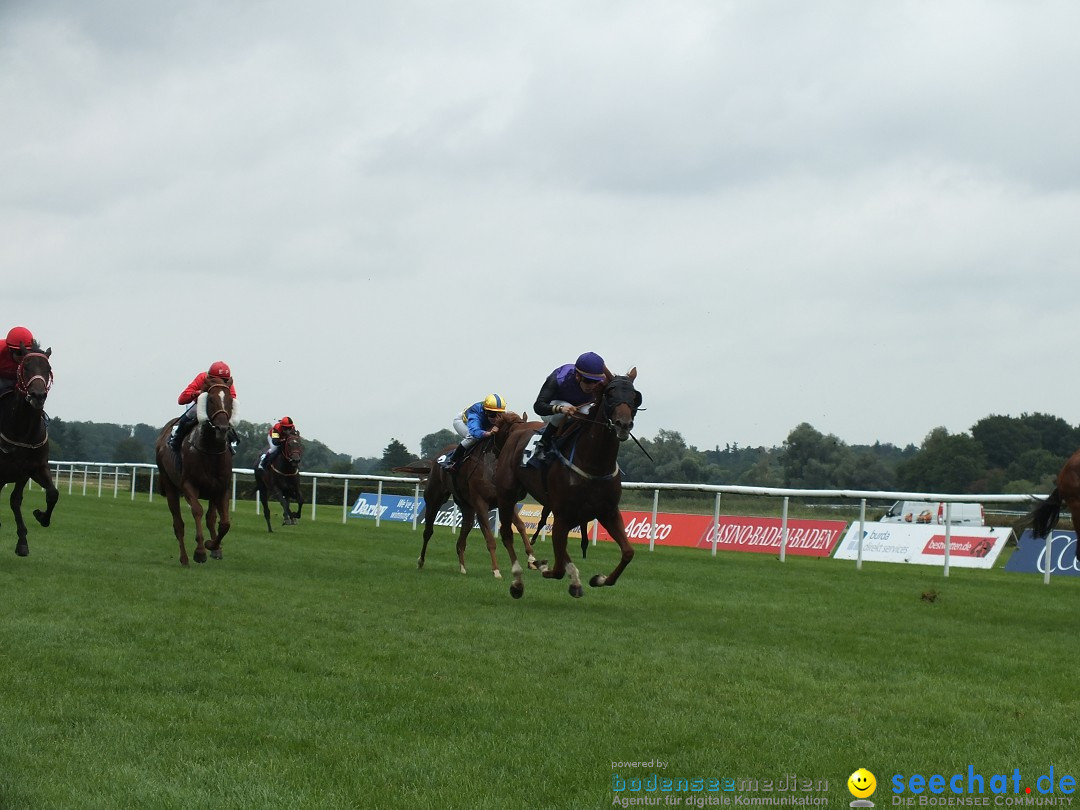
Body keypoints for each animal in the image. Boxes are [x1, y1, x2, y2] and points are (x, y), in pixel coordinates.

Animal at [0, 349, 59, 557]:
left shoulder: (31, 469)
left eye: (48, 368)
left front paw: (40, 518)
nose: (38, 395)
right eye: (25, 367)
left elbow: (51, 494)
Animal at [154, 380, 238, 565]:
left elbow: (224, 522)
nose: (222, 428)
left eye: (230, 400)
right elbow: (197, 511)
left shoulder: (222, 488)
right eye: (210, 400)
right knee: (178, 524)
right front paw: (200, 551)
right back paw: (184, 558)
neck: (210, 450)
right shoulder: (188, 485)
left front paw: (213, 545)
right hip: (169, 485)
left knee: (211, 518)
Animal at [395, 412, 544, 578]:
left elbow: (521, 526)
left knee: (461, 540)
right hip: (434, 499)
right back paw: (421, 561)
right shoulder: (481, 504)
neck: (492, 465)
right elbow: (490, 539)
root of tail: (435, 460)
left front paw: (532, 558)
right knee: (428, 531)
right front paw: (496, 570)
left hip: (467, 508)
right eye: (515, 433)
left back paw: (462, 567)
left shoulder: (505, 502)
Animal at [494, 371, 639, 600]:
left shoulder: (608, 512)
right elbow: (558, 568)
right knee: (507, 533)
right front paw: (543, 567)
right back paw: (517, 581)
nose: (623, 424)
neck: (594, 464)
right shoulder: (563, 515)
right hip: (507, 494)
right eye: (609, 394)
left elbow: (628, 552)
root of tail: (517, 428)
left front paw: (599, 579)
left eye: (635, 396)